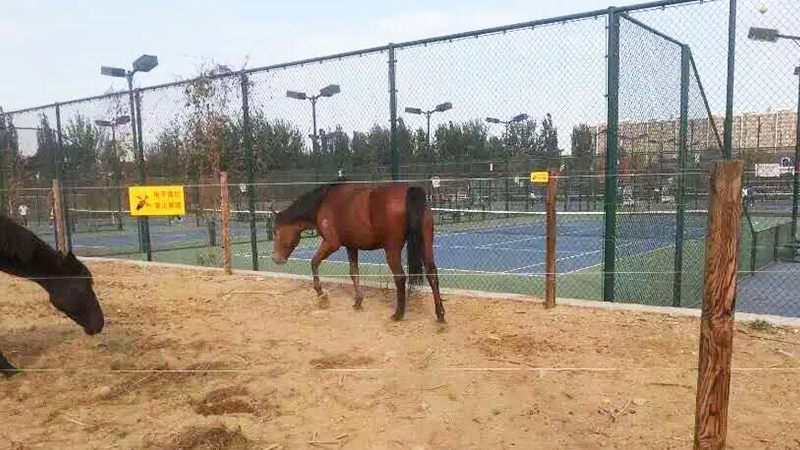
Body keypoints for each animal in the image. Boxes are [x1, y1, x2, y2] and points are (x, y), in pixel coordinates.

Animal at [268, 179, 444, 324]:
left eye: (276, 231)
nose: (275, 258)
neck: (323, 202)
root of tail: (410, 191)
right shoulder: (351, 246)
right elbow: (354, 272)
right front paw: (358, 301)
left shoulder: (331, 243)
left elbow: (314, 262)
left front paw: (321, 295)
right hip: (425, 243)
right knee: (432, 273)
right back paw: (440, 314)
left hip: (392, 249)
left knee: (400, 278)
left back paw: (398, 314)